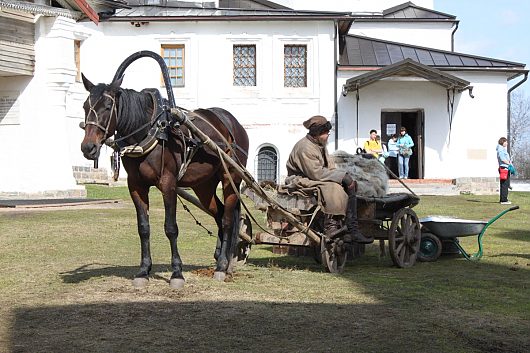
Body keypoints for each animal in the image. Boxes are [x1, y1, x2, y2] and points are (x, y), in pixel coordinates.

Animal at [79, 73, 249, 286]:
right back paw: (220, 258)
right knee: (218, 214)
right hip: (204, 185)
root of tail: (234, 124)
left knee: (227, 219)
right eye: (85, 106)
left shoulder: (168, 184)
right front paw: (143, 270)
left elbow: (171, 228)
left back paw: (222, 267)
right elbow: (143, 228)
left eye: (108, 107)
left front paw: (177, 272)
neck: (151, 132)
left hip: (230, 177)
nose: (88, 147)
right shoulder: (136, 186)